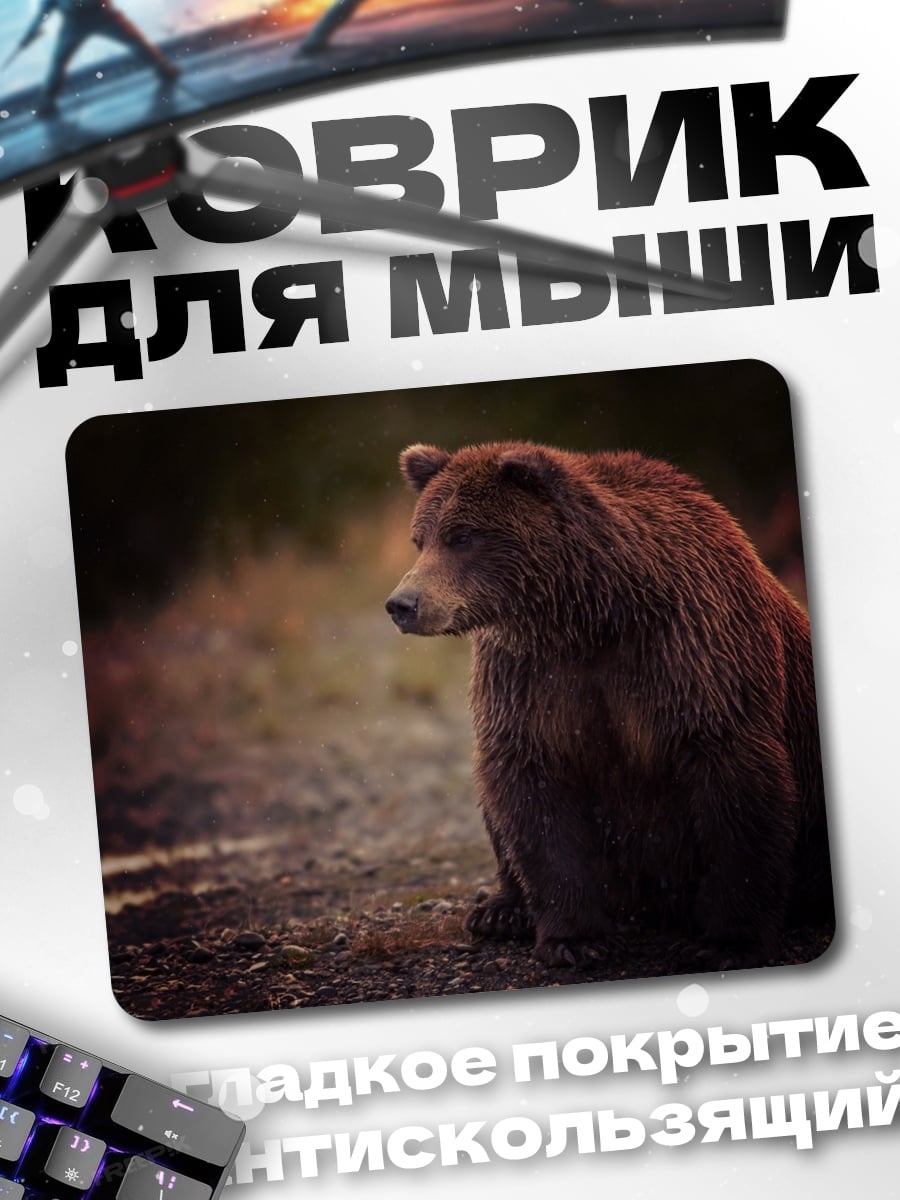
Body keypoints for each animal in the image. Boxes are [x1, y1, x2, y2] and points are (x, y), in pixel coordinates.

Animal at [385, 440, 833, 970]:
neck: (591, 616)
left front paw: (726, 943)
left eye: (461, 536)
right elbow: (532, 787)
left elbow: (735, 785)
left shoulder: (694, 655)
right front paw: (576, 939)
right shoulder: (530, 677)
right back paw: (500, 911)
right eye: (420, 539)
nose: (402, 604)